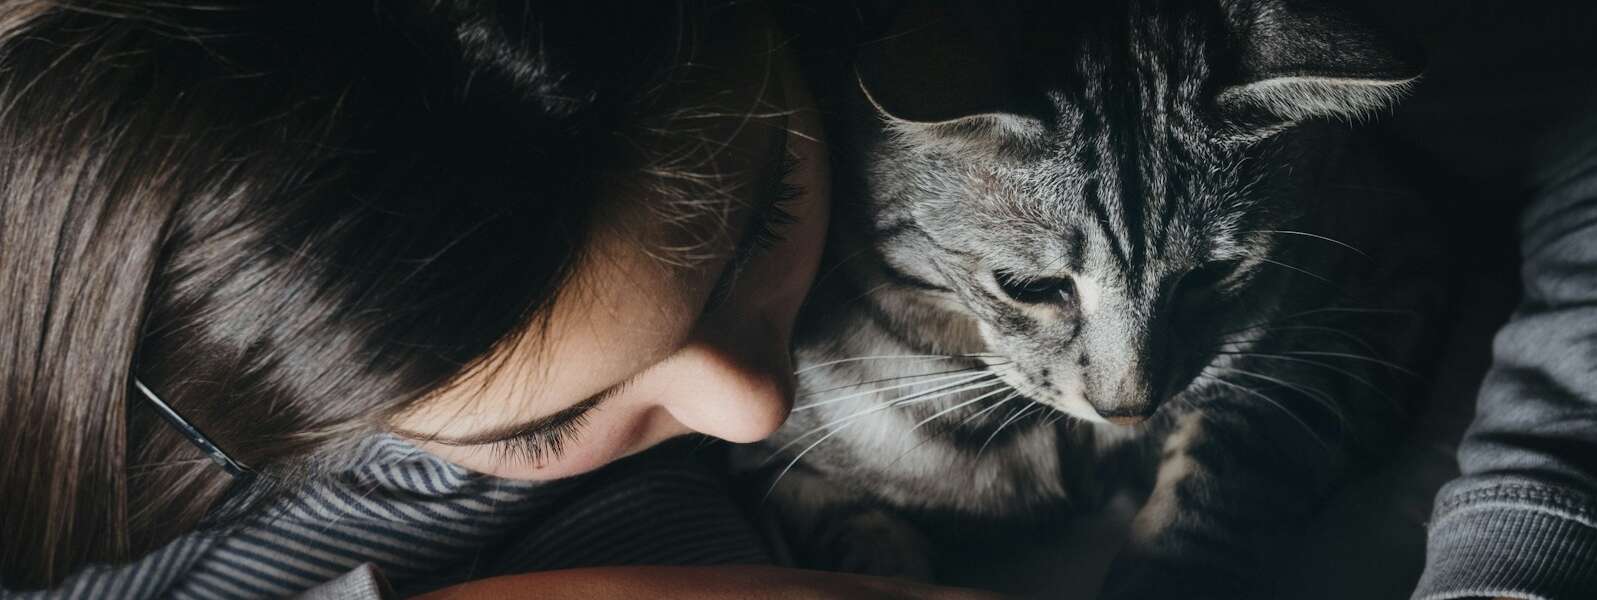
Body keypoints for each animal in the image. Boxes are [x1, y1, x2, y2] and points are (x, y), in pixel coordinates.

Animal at [747, 1, 1450, 600]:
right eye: (1029, 287)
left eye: (1212, 273)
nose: (1129, 408)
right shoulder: (773, 466)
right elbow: (859, 537)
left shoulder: (1367, 309)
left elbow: (1218, 482)